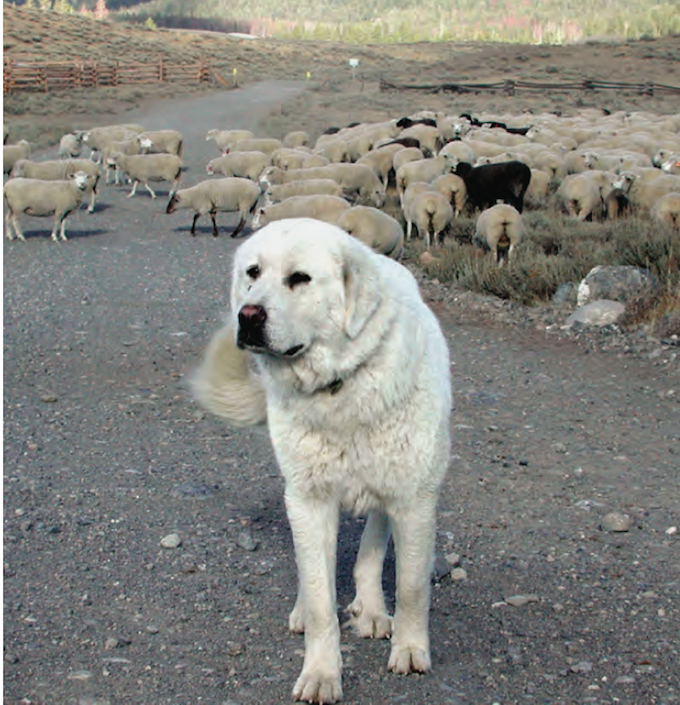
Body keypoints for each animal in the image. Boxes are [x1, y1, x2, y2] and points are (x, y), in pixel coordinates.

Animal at [191, 219, 452, 700]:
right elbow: (318, 599)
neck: (339, 386)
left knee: (371, 547)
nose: (247, 316)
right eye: (253, 272)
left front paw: (409, 649)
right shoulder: (308, 502)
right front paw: (321, 673)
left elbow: (411, 586)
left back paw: (372, 608)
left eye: (300, 278)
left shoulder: (414, 500)